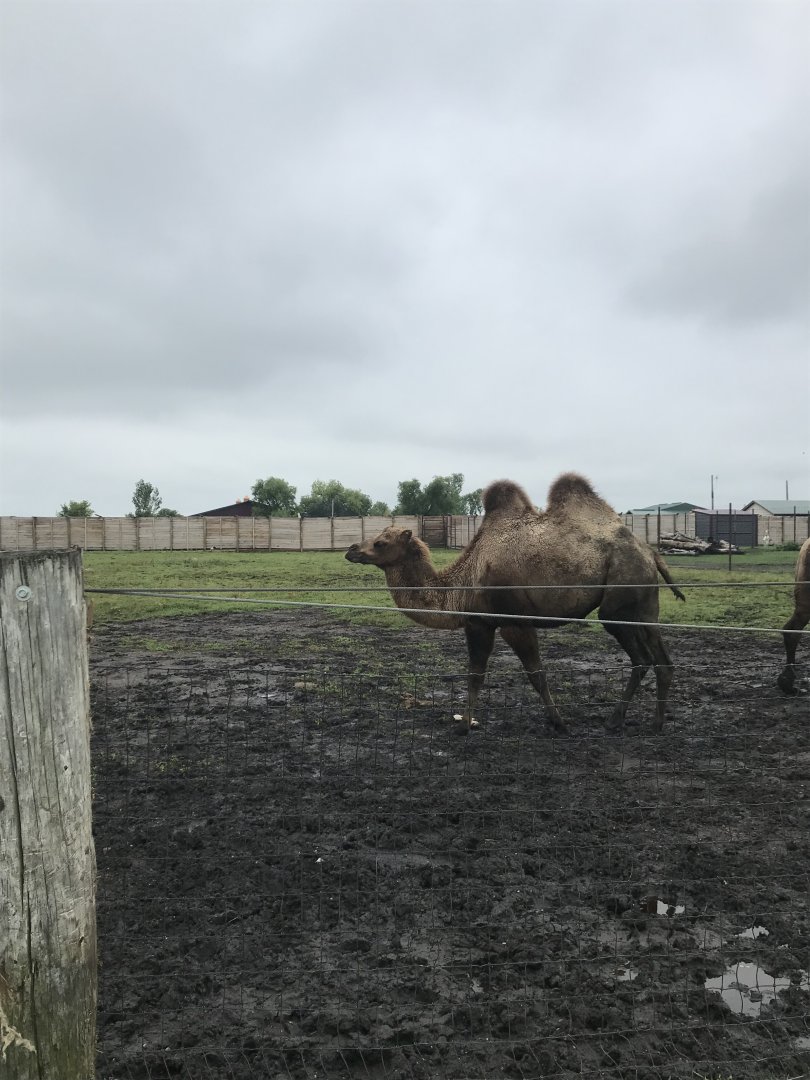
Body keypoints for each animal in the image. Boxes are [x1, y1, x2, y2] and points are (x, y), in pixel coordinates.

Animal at [345, 473, 685, 734]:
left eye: (380, 542)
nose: (351, 549)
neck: (465, 580)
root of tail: (650, 552)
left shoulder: (514, 622)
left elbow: (536, 674)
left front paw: (559, 723)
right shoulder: (479, 623)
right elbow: (475, 675)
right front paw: (464, 724)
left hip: (619, 599)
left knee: (640, 655)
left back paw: (623, 721)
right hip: (644, 604)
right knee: (658, 659)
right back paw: (649, 723)